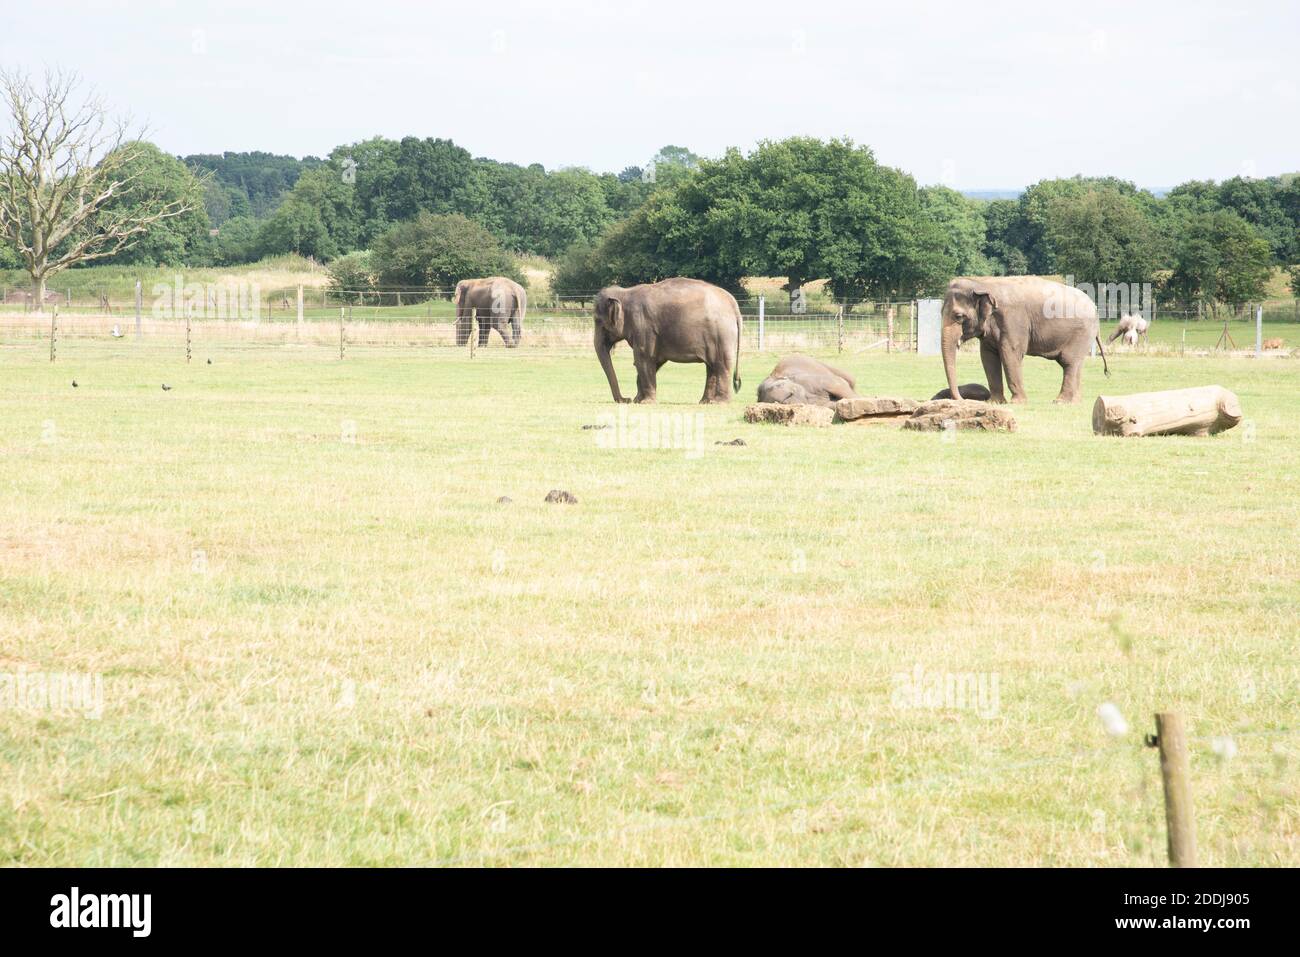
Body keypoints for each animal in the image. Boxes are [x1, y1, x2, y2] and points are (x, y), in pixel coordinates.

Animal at [593, 278, 742, 404]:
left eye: (598, 321)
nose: (626, 399)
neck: (625, 292)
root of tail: (734, 305)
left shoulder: (643, 327)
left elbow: (643, 358)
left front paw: (645, 402)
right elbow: (654, 361)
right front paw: (638, 400)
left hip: (721, 335)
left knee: (721, 364)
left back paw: (719, 402)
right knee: (711, 366)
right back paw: (705, 402)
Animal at [941, 276, 1108, 404]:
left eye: (959, 316)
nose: (963, 399)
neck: (982, 284)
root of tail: (1095, 308)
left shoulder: (1014, 321)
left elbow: (1010, 353)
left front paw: (1017, 403)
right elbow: (988, 357)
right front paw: (994, 402)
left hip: (1082, 333)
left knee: (1069, 362)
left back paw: (1060, 402)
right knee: (1077, 364)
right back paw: (1075, 402)